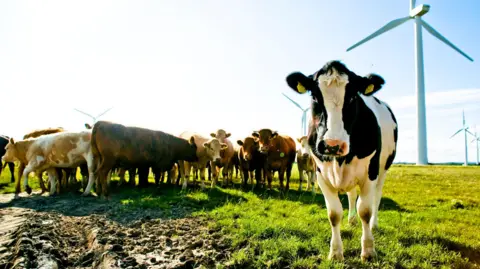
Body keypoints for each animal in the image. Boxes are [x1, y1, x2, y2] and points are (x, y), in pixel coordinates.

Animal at [284, 60, 398, 260]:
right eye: (315, 96)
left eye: (353, 97)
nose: (332, 145)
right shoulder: (321, 175)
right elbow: (334, 214)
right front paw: (336, 252)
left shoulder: (370, 173)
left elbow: (365, 210)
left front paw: (368, 250)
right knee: (352, 195)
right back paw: (351, 220)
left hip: (383, 169)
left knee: (376, 196)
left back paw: (374, 224)